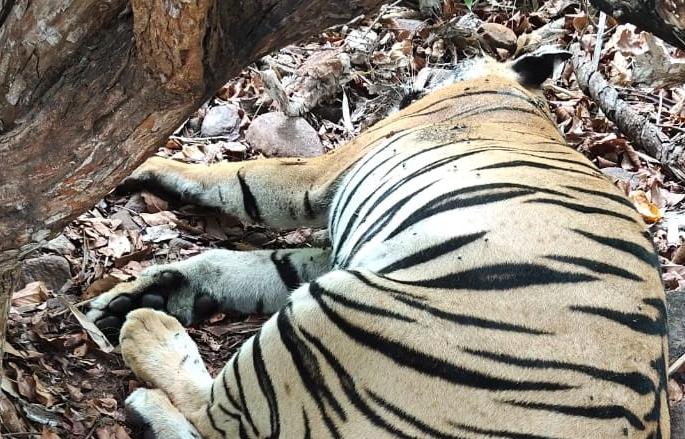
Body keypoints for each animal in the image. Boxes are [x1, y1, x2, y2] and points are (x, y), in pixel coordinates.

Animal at [86, 48, 670, 439]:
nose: (429, 68)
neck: (520, 99)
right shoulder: (331, 252)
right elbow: (255, 267)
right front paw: (154, 288)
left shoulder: (317, 176)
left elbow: (237, 179)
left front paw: (144, 166)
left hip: (336, 314)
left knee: (218, 420)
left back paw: (147, 345)